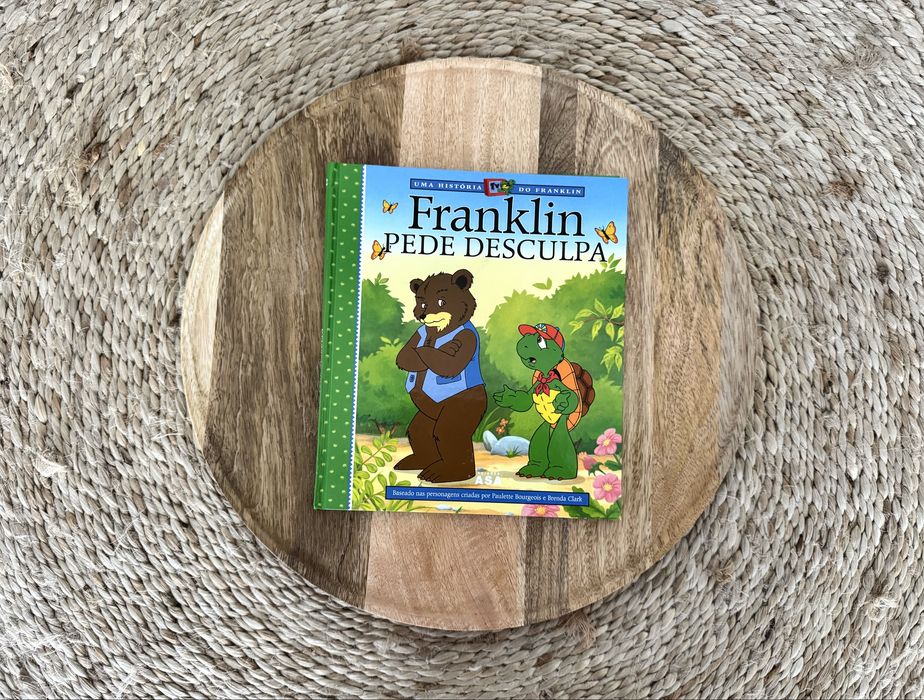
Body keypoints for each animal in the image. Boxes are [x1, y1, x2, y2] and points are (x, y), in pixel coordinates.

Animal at [393, 269, 487, 483]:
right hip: (428, 415)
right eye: (422, 303)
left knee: (448, 433)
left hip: (459, 406)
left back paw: (445, 472)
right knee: (419, 432)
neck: (438, 331)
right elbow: (406, 354)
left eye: (442, 301)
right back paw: (418, 462)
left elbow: (451, 363)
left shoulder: (468, 337)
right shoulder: (419, 333)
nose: (422, 314)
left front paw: (446, 347)